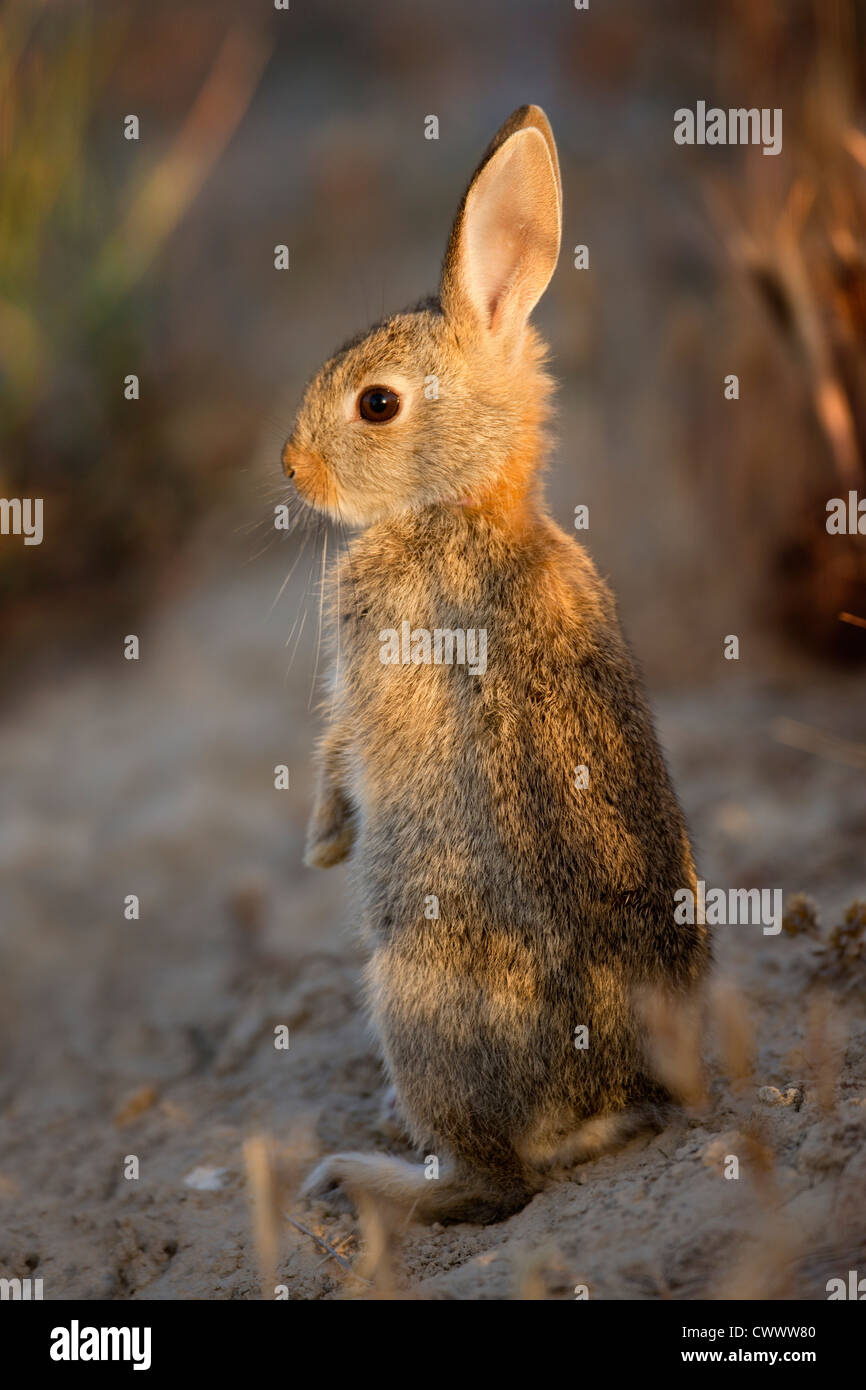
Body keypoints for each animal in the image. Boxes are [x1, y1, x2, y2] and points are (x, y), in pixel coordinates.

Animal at [283, 105, 710, 1224]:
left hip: (412, 989)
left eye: (376, 405)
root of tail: (607, 1101)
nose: (291, 469)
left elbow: (340, 746)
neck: (462, 505)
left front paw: (322, 844)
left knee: (495, 1183)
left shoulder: (368, 659)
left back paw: (363, 1170)